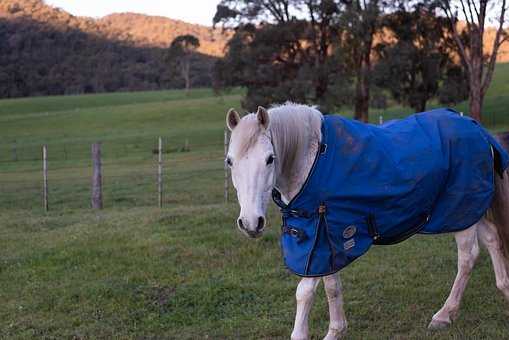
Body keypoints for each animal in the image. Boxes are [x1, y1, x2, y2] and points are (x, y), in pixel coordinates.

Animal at [224, 104, 508, 340]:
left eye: (270, 158)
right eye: (229, 161)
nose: (251, 223)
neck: (313, 160)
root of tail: (476, 127)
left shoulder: (322, 236)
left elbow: (305, 291)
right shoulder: (326, 235)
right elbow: (331, 286)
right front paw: (336, 331)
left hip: (461, 211)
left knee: (468, 257)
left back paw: (444, 314)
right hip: (473, 209)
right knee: (493, 239)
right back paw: (504, 287)